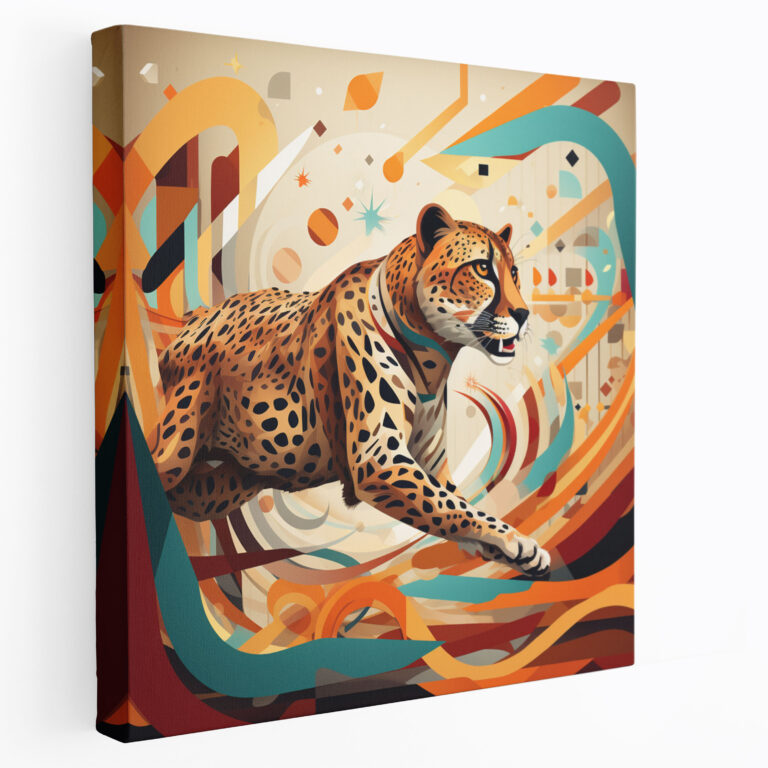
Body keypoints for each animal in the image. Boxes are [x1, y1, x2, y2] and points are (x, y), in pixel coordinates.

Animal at [151, 203, 551, 577]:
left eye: (514, 273)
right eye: (482, 268)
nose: (523, 314)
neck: (435, 360)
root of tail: (200, 314)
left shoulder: (432, 466)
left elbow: (453, 506)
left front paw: (519, 552)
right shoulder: (378, 458)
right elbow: (450, 509)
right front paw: (515, 540)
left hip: (232, 480)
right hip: (178, 446)